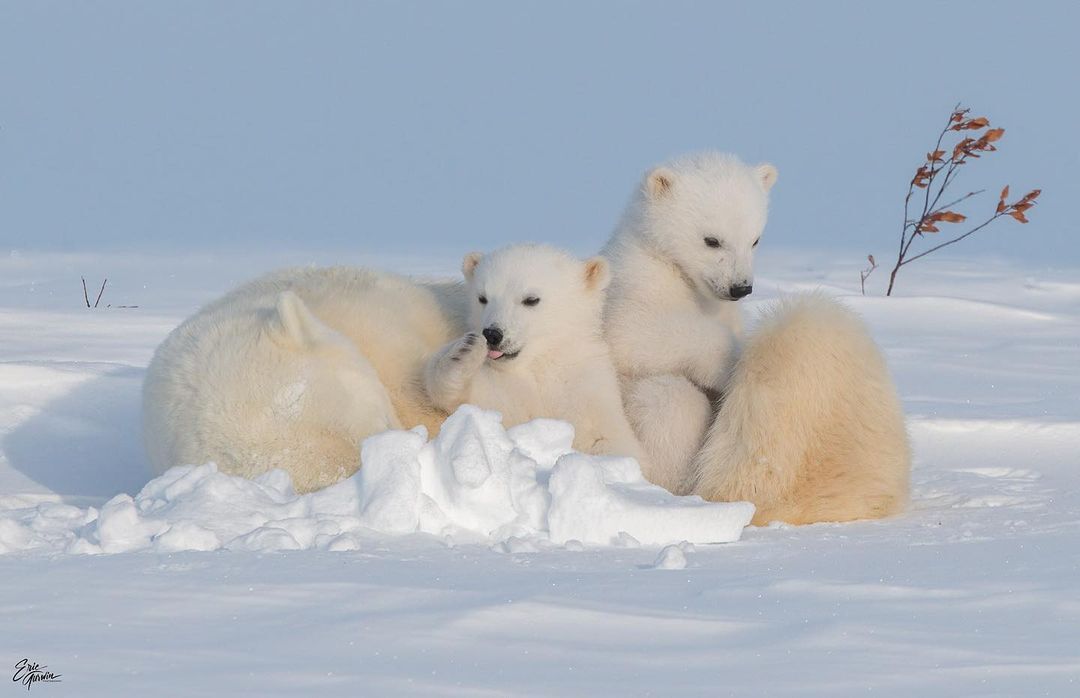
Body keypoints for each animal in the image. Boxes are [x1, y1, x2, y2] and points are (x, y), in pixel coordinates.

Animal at [604, 153, 907, 525]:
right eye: (712, 240)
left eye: (755, 239)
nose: (740, 287)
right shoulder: (632, 285)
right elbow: (634, 333)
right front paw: (728, 363)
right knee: (669, 399)